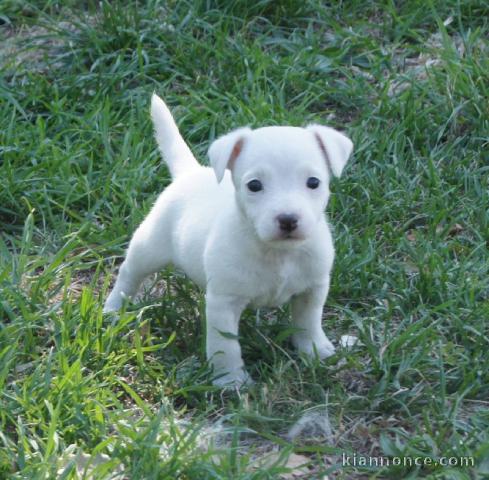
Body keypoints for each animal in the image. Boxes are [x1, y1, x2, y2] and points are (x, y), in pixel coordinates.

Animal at [105, 94, 352, 386]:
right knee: (129, 274)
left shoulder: (313, 288)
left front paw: (314, 350)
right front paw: (230, 380)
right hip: (149, 247)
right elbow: (226, 346)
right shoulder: (223, 304)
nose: (288, 219)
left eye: (314, 182)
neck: (278, 254)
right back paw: (113, 308)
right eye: (254, 185)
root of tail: (189, 173)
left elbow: (308, 321)